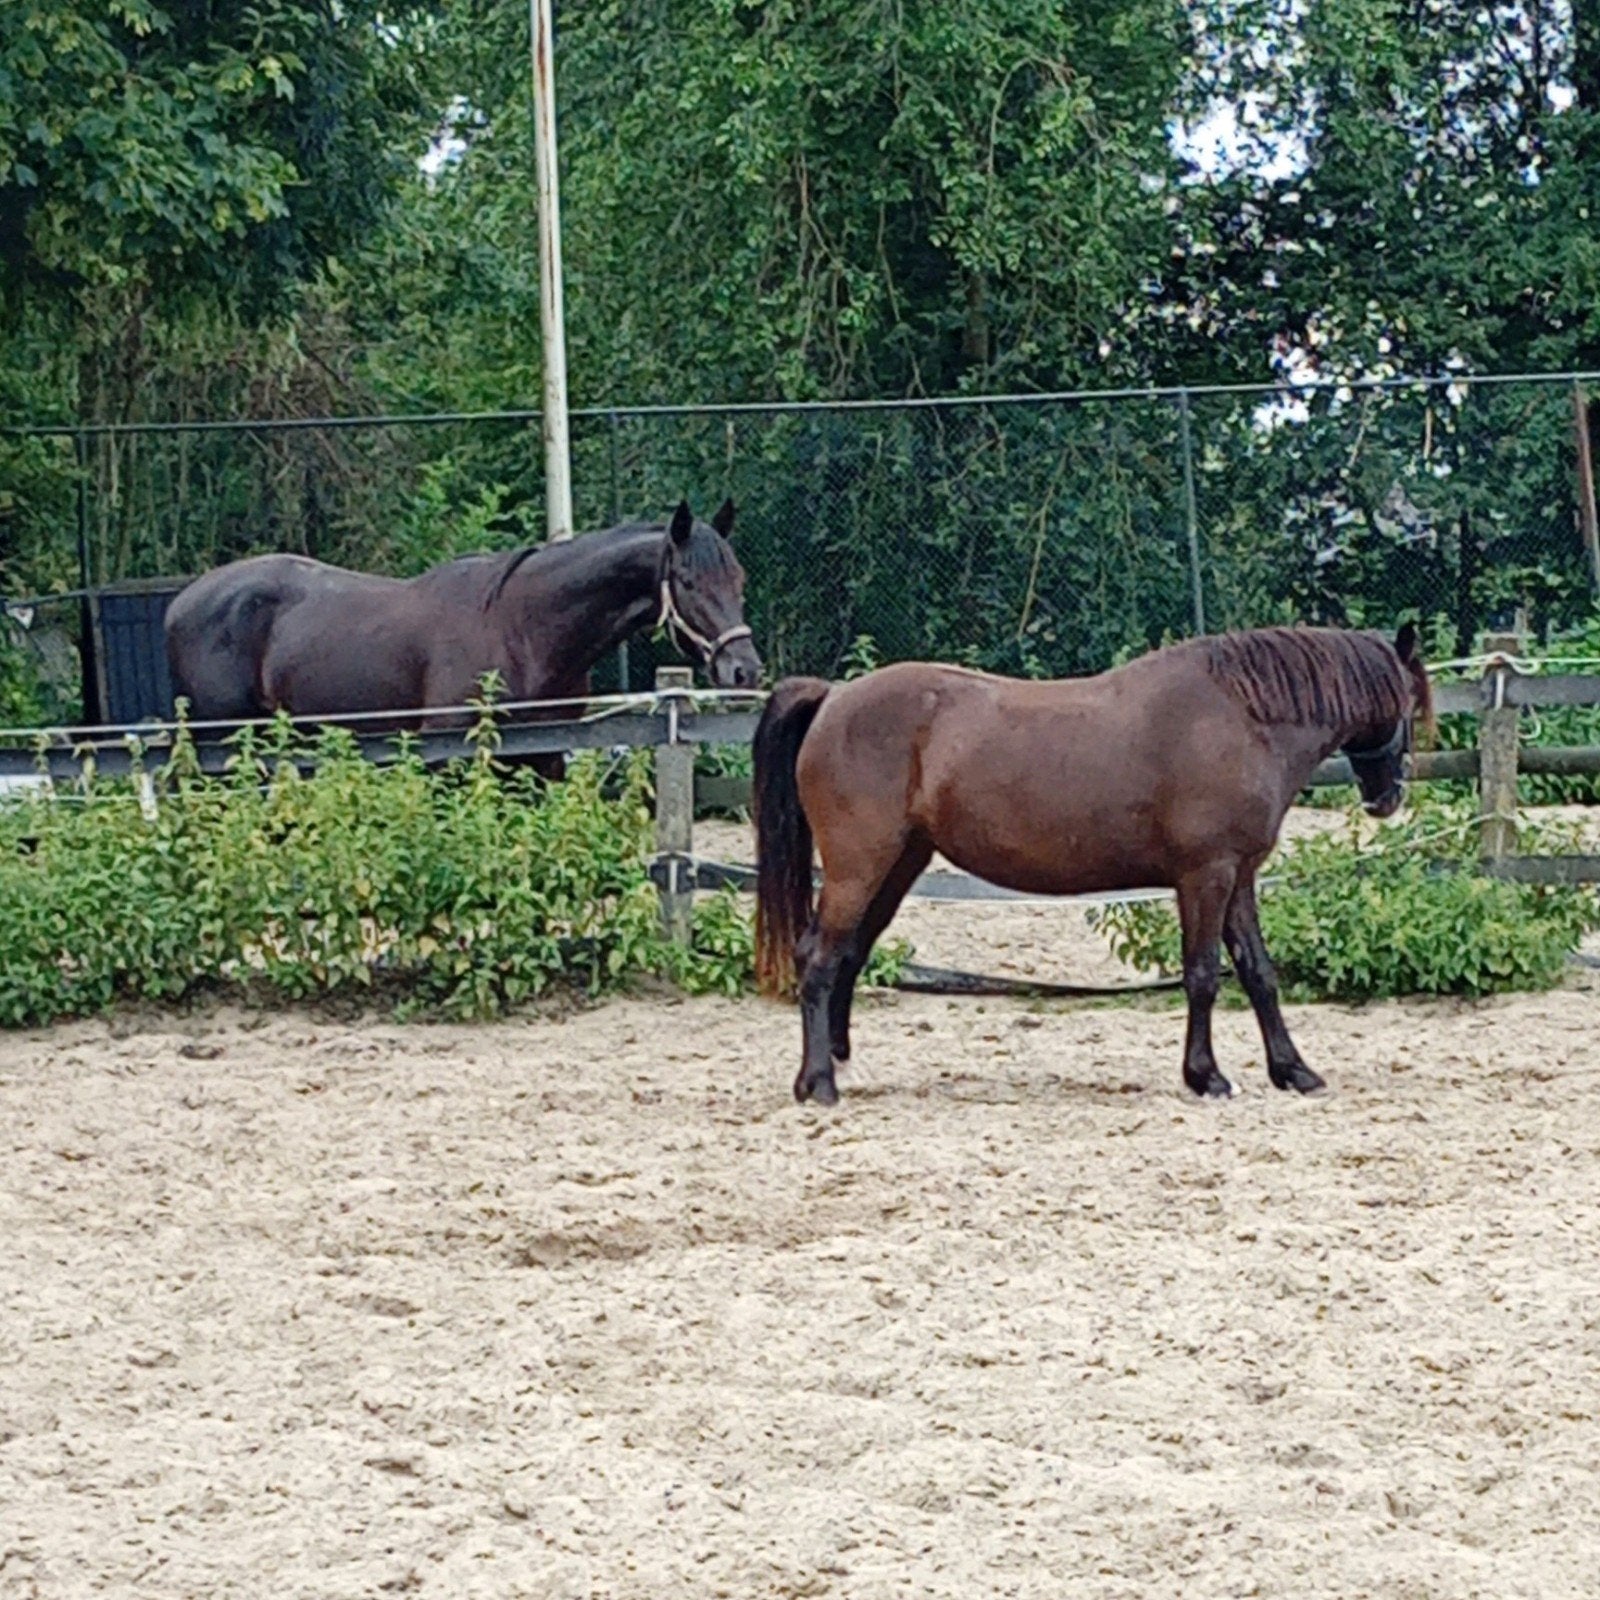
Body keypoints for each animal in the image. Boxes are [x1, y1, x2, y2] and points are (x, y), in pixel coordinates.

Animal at [753, 624, 1432, 1106]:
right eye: (1408, 704)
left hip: (898, 864)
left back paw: (836, 1063)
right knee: (819, 956)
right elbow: (1203, 974)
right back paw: (818, 1083)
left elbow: (1258, 972)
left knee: (849, 952)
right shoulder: (1205, 875)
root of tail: (835, 697)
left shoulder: (1239, 875)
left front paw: (1293, 1070)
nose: (1388, 797)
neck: (1240, 719)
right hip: (857, 867)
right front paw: (1206, 1076)